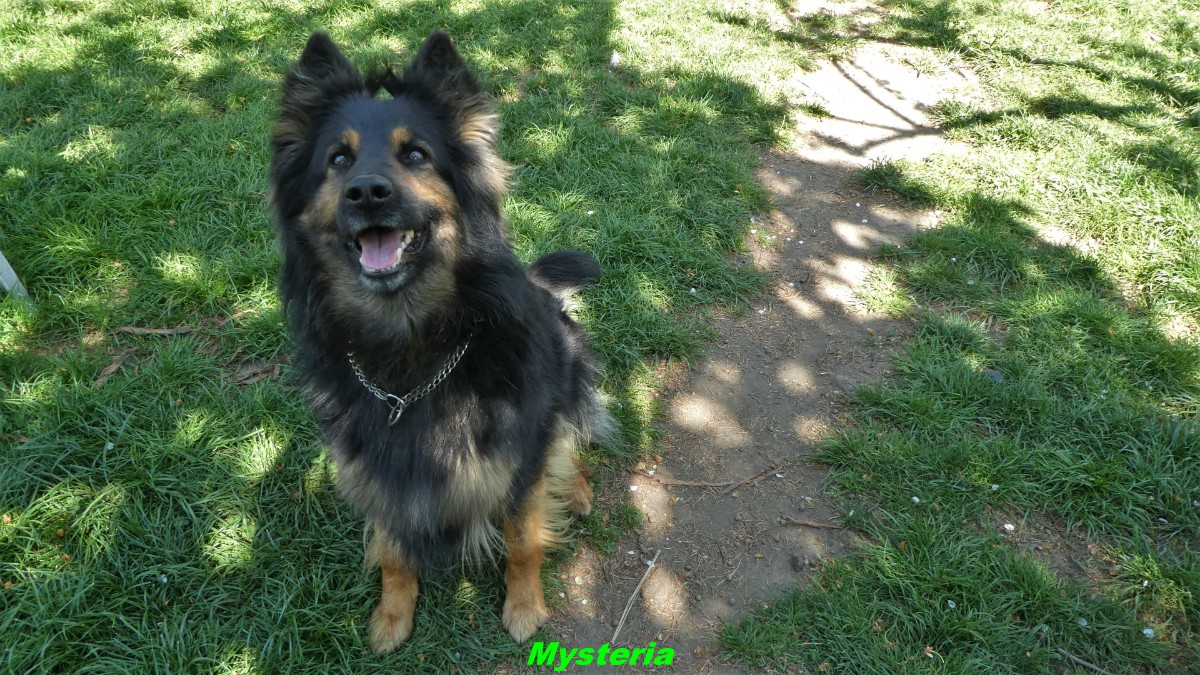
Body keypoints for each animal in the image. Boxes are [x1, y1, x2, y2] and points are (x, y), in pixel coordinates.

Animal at [269, 31, 612, 652]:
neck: (412, 354)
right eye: (338, 159)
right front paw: (391, 616)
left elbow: (523, 540)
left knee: (571, 441)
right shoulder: (381, 466)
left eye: (415, 154)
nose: (367, 192)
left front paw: (525, 607)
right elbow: (392, 554)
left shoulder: (520, 454)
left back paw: (575, 489)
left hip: (566, 374)